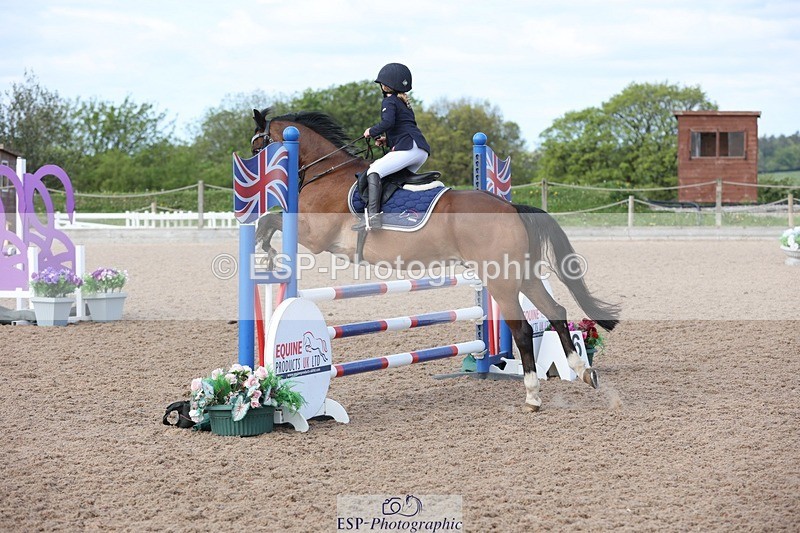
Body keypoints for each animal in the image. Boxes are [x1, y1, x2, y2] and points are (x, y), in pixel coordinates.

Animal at [251, 108, 620, 411]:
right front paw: (266, 252)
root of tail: (511, 207)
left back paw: (532, 396)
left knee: (523, 329)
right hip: (522, 276)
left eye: (258, 147)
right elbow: (270, 219)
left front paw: (266, 250)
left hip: (500, 281)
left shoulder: (315, 237)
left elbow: (270, 219)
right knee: (556, 312)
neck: (326, 172)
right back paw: (583, 372)